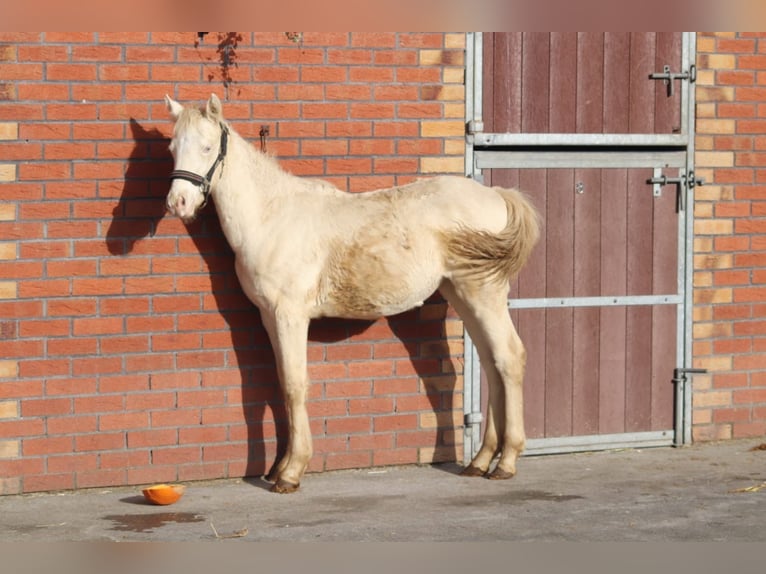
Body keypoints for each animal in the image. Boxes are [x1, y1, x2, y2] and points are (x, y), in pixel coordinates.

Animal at [165, 94, 544, 496]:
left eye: (207, 147)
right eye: (173, 147)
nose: (179, 203)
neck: (271, 216)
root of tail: (496, 196)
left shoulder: (289, 315)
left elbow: (296, 385)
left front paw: (290, 472)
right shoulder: (269, 317)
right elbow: (282, 383)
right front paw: (279, 466)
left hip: (481, 292)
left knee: (509, 357)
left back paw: (506, 462)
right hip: (460, 293)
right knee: (492, 363)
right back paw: (481, 460)